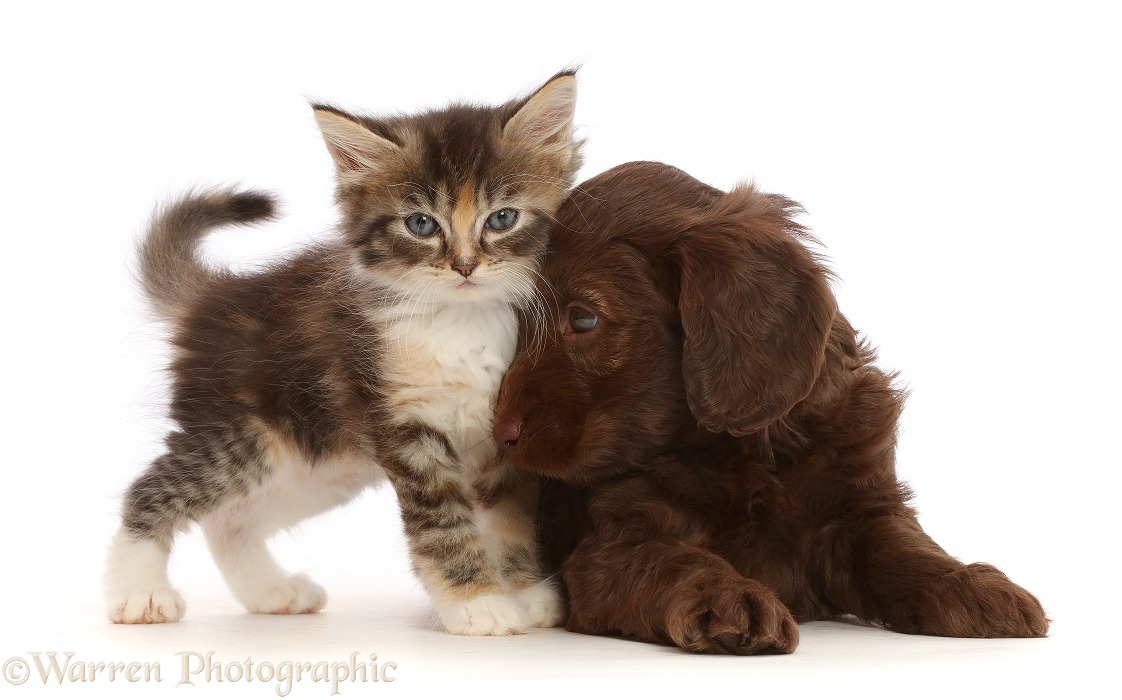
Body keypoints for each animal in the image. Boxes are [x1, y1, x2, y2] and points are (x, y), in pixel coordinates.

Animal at [105, 71, 583, 632]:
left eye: (502, 218)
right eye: (421, 224)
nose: (465, 266)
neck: (462, 321)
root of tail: (215, 295)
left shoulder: (503, 434)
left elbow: (511, 520)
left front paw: (527, 593)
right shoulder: (407, 429)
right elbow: (443, 527)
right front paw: (477, 604)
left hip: (316, 466)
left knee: (229, 521)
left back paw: (272, 591)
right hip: (242, 437)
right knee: (152, 490)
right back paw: (138, 592)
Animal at [495, 161, 1045, 655]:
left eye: (583, 319)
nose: (501, 435)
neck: (746, 450)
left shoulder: (859, 509)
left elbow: (904, 547)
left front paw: (971, 586)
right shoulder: (611, 547)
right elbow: (672, 561)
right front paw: (729, 598)